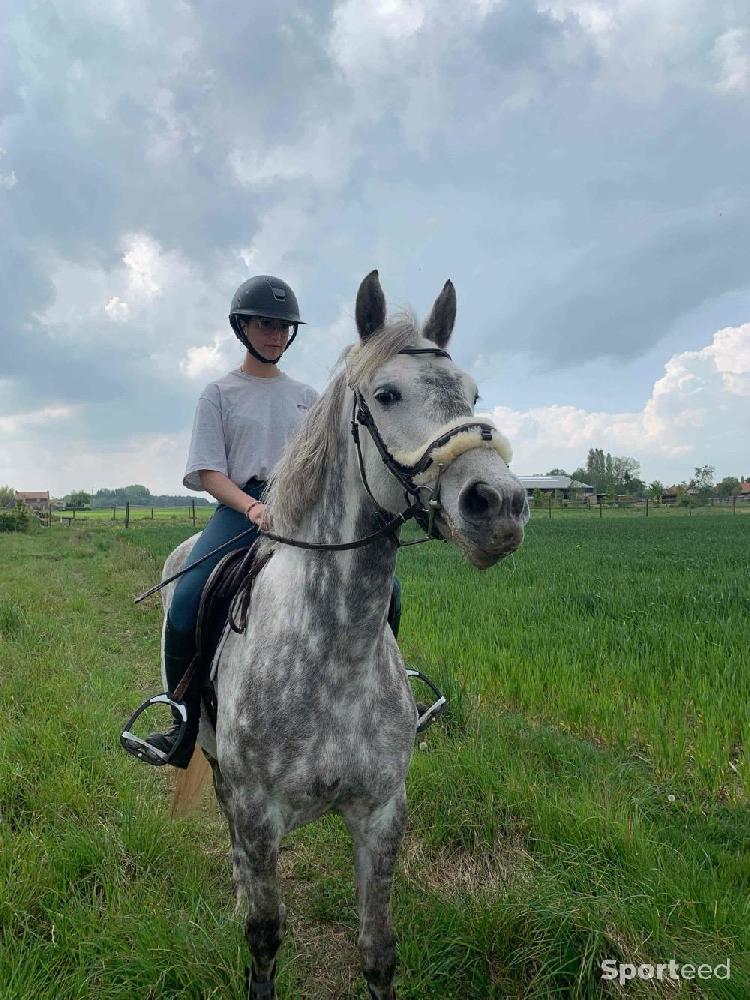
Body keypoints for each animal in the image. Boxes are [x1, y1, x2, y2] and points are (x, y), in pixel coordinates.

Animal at [159, 270, 532, 996]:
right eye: (386, 396)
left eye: (473, 394)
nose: (498, 504)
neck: (330, 656)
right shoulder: (257, 816)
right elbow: (264, 938)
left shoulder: (382, 814)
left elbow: (378, 949)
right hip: (215, 766)